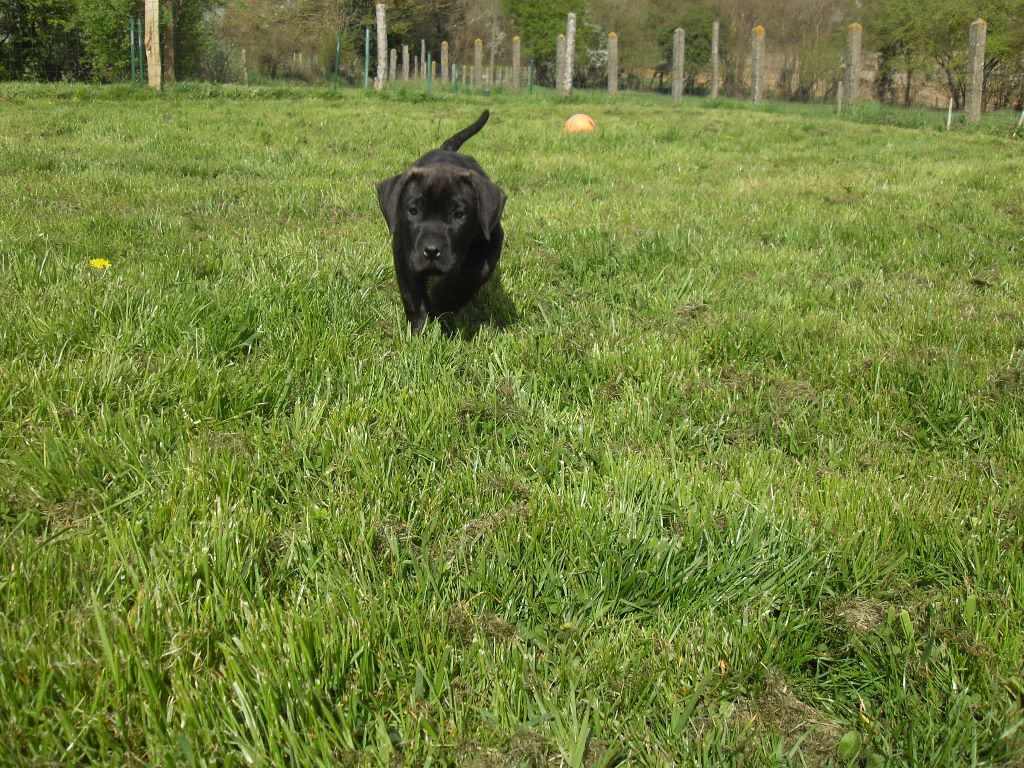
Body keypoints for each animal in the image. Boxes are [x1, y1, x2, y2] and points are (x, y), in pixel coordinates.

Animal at [376, 110, 507, 334]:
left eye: (459, 214)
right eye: (413, 211)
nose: (431, 251)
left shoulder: (492, 240)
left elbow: (473, 274)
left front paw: (443, 299)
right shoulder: (404, 251)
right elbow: (412, 293)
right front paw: (419, 328)